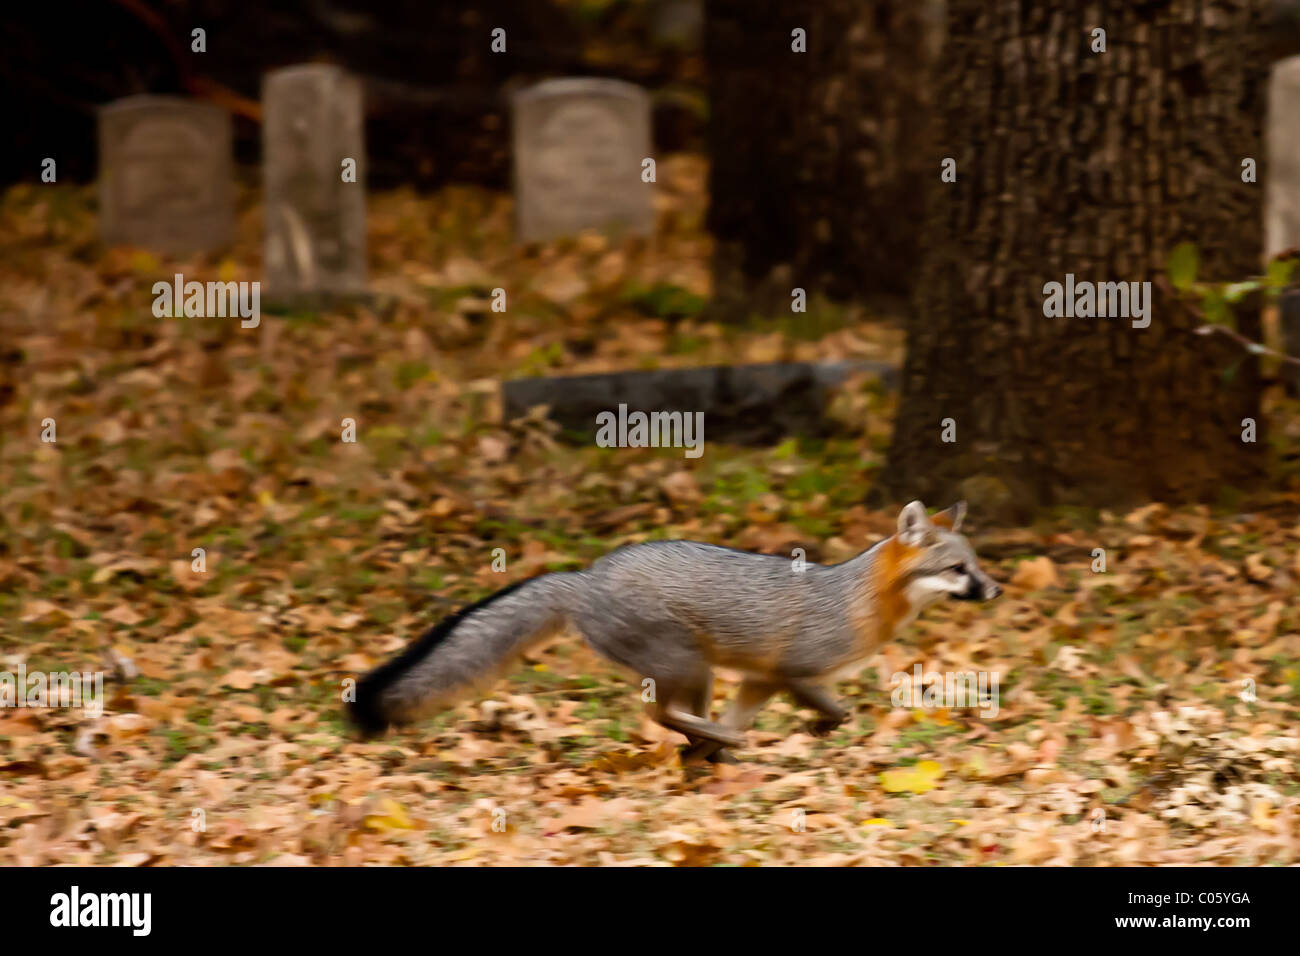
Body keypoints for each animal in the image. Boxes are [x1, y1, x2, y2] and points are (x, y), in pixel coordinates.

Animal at [345, 502, 993, 764]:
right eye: (958, 570)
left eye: (977, 565)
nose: (995, 591)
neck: (855, 600)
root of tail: (585, 576)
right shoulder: (793, 673)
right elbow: (839, 711)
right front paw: (812, 728)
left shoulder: (760, 679)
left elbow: (765, 713)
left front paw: (714, 752)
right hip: (690, 664)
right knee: (657, 714)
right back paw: (713, 741)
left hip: (696, 672)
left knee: (674, 716)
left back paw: (711, 745)